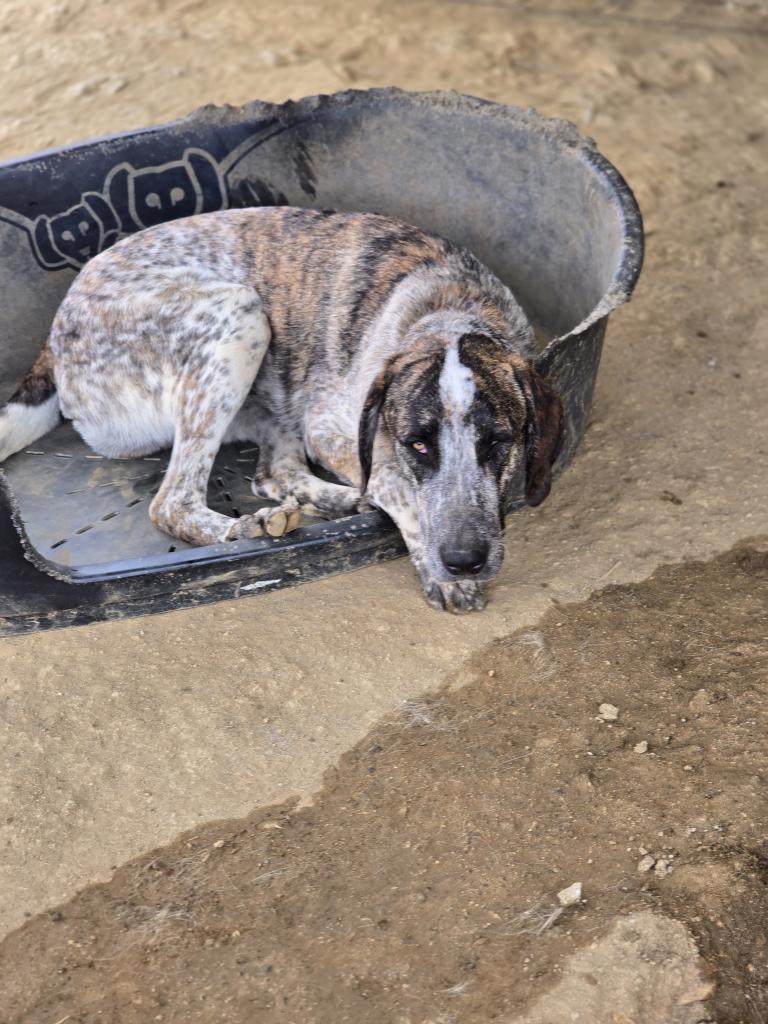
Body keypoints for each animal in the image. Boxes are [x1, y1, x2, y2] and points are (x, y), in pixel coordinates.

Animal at [0, 207, 563, 612]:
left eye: (498, 442)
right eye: (417, 444)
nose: (464, 561)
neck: (450, 310)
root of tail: (55, 334)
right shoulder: (330, 429)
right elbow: (393, 481)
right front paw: (437, 568)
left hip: (274, 389)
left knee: (272, 475)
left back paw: (324, 504)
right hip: (239, 316)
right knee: (172, 503)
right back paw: (243, 528)